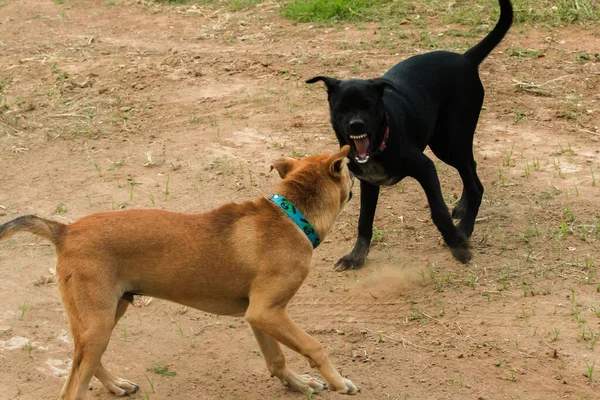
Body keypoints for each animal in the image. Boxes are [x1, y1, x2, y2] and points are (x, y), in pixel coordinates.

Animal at [0, 145, 356, 398]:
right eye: (350, 171)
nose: (360, 172)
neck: (292, 216)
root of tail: (65, 231)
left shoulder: (261, 315)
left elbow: (276, 359)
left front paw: (299, 383)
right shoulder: (267, 312)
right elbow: (313, 345)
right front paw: (339, 381)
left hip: (106, 314)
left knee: (85, 360)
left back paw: (116, 384)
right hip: (98, 321)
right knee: (72, 387)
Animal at [310, 0, 510, 270]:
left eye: (369, 106)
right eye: (341, 109)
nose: (356, 125)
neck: (381, 144)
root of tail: (466, 59)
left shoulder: (425, 168)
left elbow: (438, 211)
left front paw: (458, 245)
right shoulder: (368, 182)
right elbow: (364, 222)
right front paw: (356, 256)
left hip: (450, 143)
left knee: (476, 185)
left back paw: (465, 228)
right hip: (447, 141)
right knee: (472, 168)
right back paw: (462, 207)